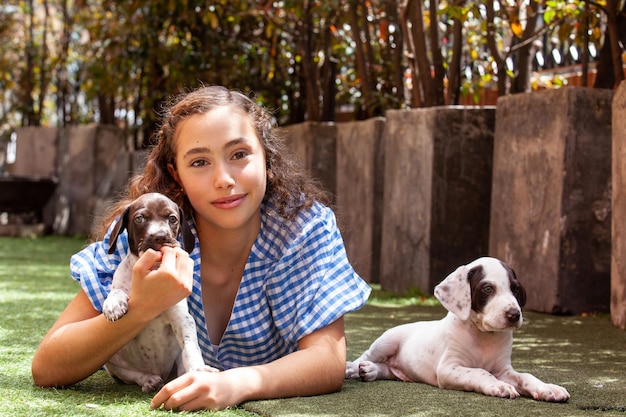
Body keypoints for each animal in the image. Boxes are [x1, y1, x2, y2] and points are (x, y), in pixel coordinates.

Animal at [103, 191, 216, 390]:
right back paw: (149, 380)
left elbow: (190, 347)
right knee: (130, 374)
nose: (160, 236)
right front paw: (114, 303)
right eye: (139, 218)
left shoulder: (181, 318)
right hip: (112, 358)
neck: (154, 270)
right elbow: (117, 290)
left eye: (172, 218)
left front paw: (198, 369)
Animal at [346, 255, 572, 402]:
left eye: (515, 289)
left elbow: (525, 376)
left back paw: (370, 371)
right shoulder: (449, 368)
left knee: (387, 369)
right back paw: (353, 367)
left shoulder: (503, 369)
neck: (484, 335)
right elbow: (480, 372)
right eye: (487, 289)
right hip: (386, 341)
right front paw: (498, 385)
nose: (514, 315)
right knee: (365, 356)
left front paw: (547, 388)